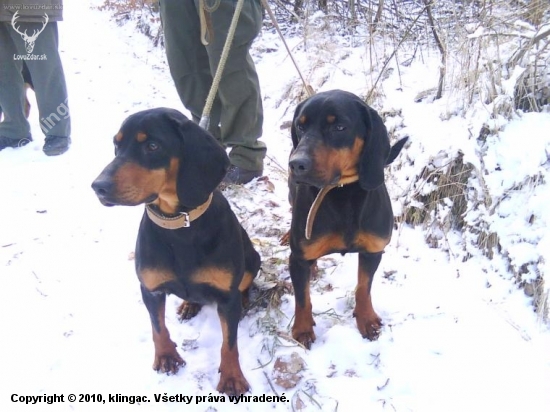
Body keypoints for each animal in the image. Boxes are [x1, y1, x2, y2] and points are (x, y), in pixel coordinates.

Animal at [92, 108, 260, 394]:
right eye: (116, 145)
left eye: (152, 146)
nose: (98, 187)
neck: (179, 225)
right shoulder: (150, 288)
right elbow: (158, 327)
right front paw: (166, 357)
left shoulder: (227, 298)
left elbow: (229, 343)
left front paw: (231, 377)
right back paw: (189, 305)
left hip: (253, 260)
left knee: (244, 284)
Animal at [286, 89, 408, 348]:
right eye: (300, 126)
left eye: (339, 127)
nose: (296, 164)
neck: (341, 192)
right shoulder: (298, 258)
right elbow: (302, 297)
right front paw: (302, 328)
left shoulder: (373, 251)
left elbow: (364, 287)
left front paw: (366, 319)